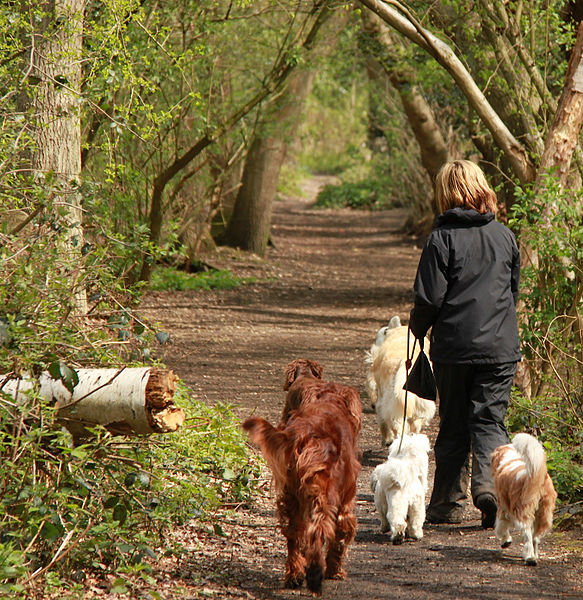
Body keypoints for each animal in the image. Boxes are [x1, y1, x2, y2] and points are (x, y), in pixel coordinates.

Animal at [242, 360, 360, 596]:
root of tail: (308, 435)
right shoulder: (346, 501)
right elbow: (341, 535)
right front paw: (335, 570)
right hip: (323, 497)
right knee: (318, 531)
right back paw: (315, 576)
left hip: (292, 497)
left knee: (294, 536)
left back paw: (294, 575)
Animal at [492, 434, 560, 564]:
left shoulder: (503, 508)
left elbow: (501, 526)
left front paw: (505, 541)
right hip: (543, 514)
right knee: (535, 538)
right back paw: (534, 555)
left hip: (522, 512)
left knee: (528, 536)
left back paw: (530, 558)